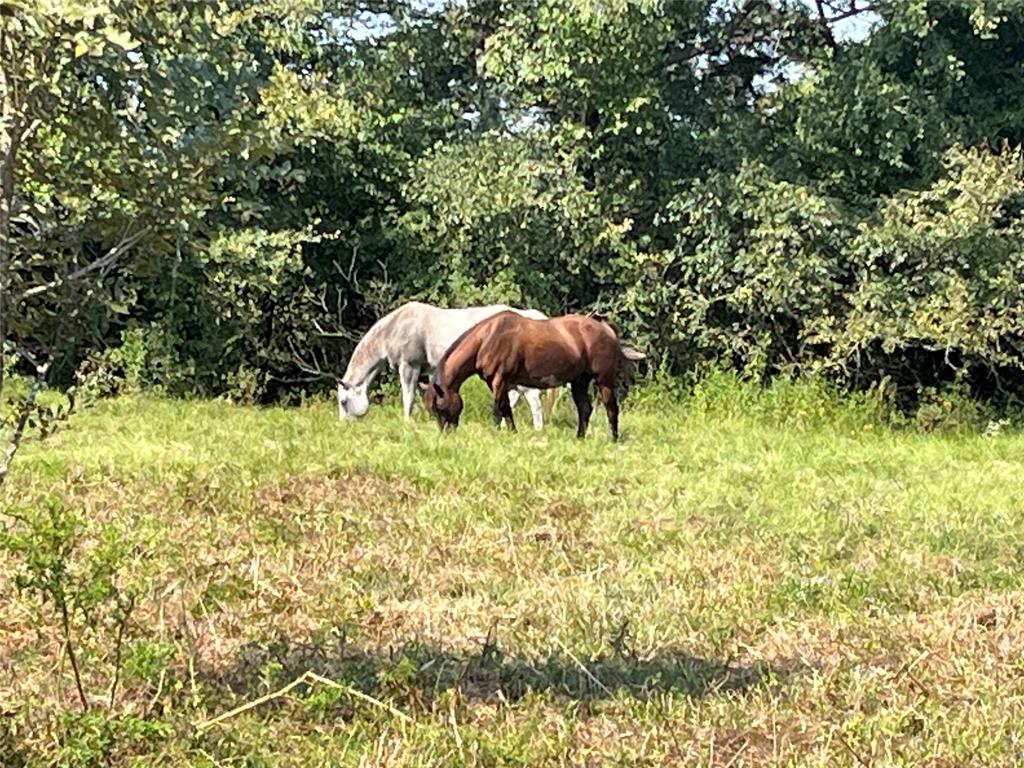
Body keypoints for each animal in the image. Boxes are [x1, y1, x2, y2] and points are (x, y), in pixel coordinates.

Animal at [335, 301, 556, 427]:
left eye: (343, 402)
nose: (344, 425)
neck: (395, 328)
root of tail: (532, 318)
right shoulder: (426, 371)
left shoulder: (410, 366)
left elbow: (408, 397)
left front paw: (407, 422)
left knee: (533, 400)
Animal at [422, 312, 645, 441]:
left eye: (440, 406)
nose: (446, 434)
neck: (487, 338)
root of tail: (607, 329)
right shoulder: (502, 383)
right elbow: (505, 410)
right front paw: (510, 433)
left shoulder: (499, 380)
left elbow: (498, 410)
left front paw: (499, 434)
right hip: (579, 381)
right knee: (585, 409)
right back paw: (579, 438)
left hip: (604, 380)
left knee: (611, 408)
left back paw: (613, 439)